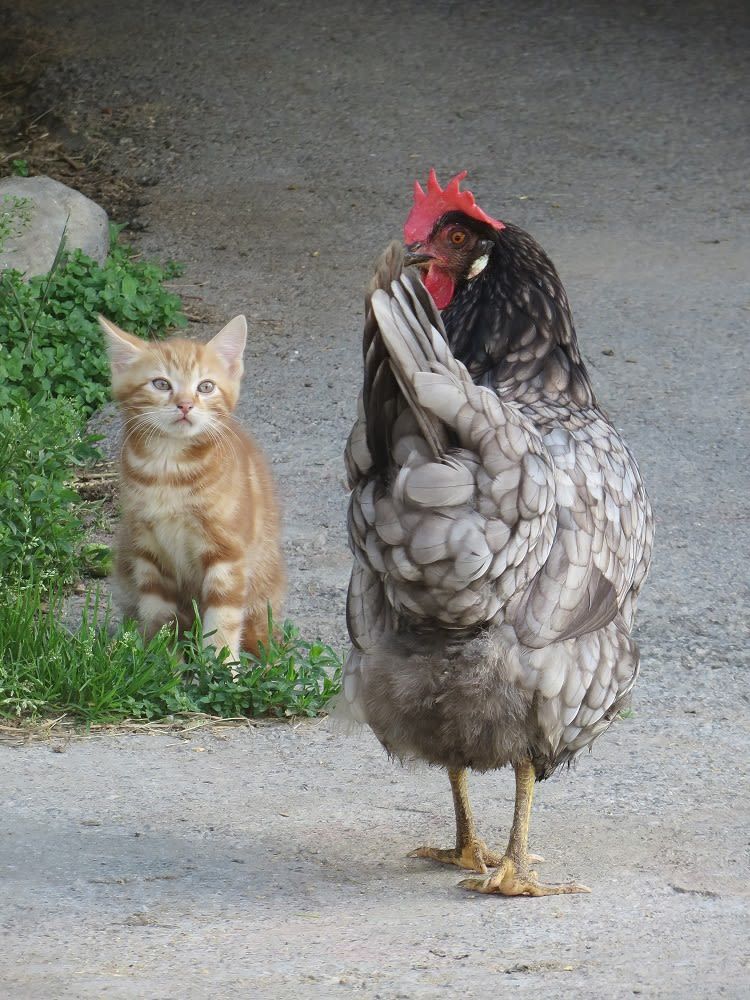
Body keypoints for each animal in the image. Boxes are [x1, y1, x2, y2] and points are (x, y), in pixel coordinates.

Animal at [100, 314, 285, 664]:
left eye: (206, 387)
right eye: (161, 384)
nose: (185, 405)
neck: (168, 472)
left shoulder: (227, 552)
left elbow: (222, 619)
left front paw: (220, 668)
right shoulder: (148, 550)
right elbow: (158, 614)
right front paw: (161, 661)